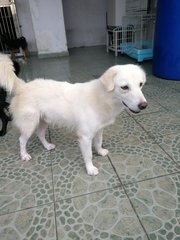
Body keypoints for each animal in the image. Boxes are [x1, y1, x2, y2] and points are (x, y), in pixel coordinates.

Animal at [0, 54, 147, 174]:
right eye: (124, 87)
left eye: (140, 84)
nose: (144, 105)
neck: (102, 97)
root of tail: (23, 86)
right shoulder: (85, 137)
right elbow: (88, 155)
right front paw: (90, 169)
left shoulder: (99, 130)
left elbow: (98, 143)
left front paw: (100, 152)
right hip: (29, 124)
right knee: (22, 140)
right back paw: (24, 155)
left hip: (43, 121)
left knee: (40, 134)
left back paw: (47, 146)